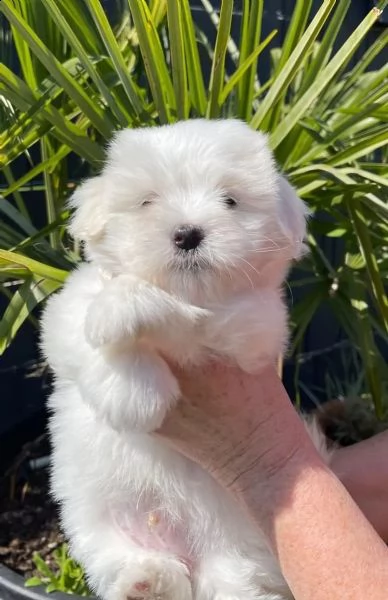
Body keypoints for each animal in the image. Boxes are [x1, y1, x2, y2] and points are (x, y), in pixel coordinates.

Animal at [41, 120, 328, 600]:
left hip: (241, 551)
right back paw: (145, 580)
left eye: (230, 200)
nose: (187, 233)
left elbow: (189, 323)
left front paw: (139, 310)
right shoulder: (65, 313)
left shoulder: (250, 328)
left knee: (236, 584)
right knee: (127, 564)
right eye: (147, 202)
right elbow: (86, 330)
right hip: (96, 528)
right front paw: (132, 391)